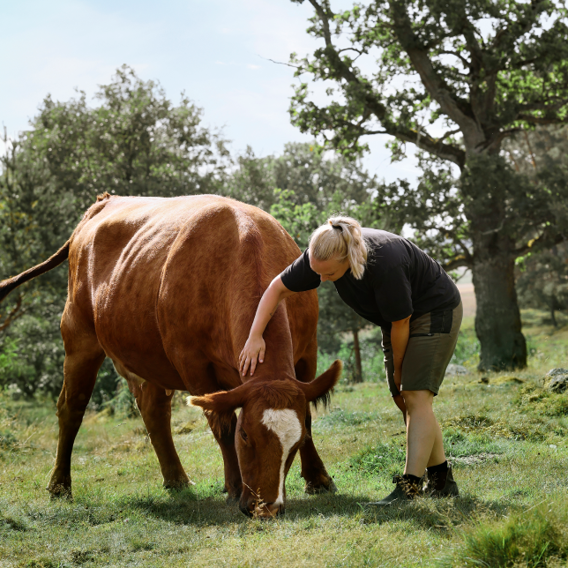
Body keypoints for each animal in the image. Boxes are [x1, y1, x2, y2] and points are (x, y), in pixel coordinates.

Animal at [0, 195, 342, 520]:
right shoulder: (192, 363)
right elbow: (222, 424)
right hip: (79, 338)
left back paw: (176, 479)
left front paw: (319, 478)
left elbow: (307, 416)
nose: (266, 507)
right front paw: (233, 487)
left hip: (146, 354)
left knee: (153, 410)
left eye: (294, 443)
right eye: (246, 435)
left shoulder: (307, 353)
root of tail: (103, 203)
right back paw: (59, 486)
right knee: (71, 408)